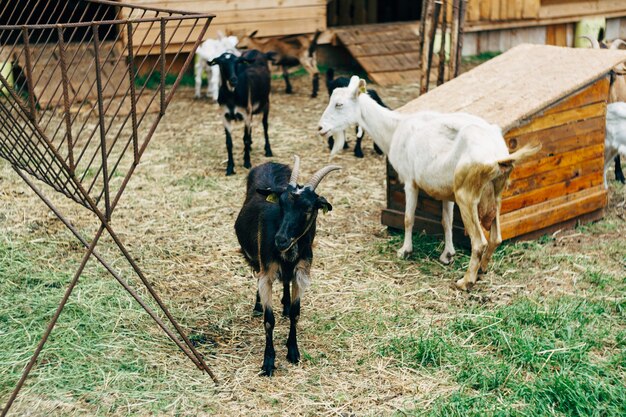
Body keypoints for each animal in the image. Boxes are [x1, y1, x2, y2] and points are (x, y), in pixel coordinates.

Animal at [234, 157, 338, 376]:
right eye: (281, 204)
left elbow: (295, 314)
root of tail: (270, 162)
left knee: (285, 283)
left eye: (308, 209)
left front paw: (293, 352)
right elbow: (269, 320)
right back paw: (258, 305)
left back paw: (285, 303)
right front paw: (268, 362)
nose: (280, 240)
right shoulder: (267, 273)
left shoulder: (301, 272)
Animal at [316, 75, 536, 290]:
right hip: (496, 194)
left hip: (466, 195)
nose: (320, 128)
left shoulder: (410, 181)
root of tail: (497, 155)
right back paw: (481, 270)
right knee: (496, 237)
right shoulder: (446, 190)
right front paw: (447, 254)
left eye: (339, 104)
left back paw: (465, 281)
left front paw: (405, 251)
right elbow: (446, 221)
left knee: (479, 242)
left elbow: (408, 218)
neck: (395, 129)